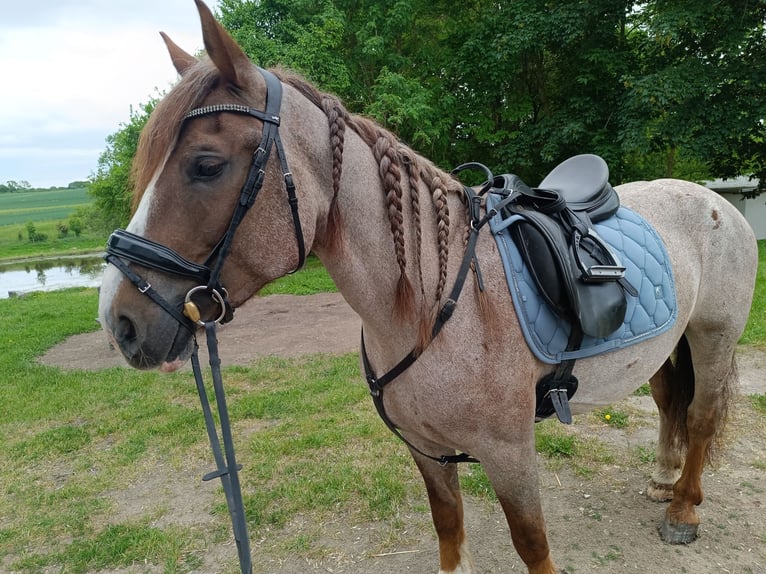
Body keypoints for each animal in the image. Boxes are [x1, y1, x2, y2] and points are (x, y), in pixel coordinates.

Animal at [97, 2, 758, 572]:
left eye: (206, 165)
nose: (119, 322)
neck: (433, 308)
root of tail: (715, 200)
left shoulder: (511, 453)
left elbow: (532, 544)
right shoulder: (426, 450)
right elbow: (449, 529)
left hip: (714, 335)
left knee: (700, 415)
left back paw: (683, 510)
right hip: (667, 346)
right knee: (670, 404)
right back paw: (664, 481)